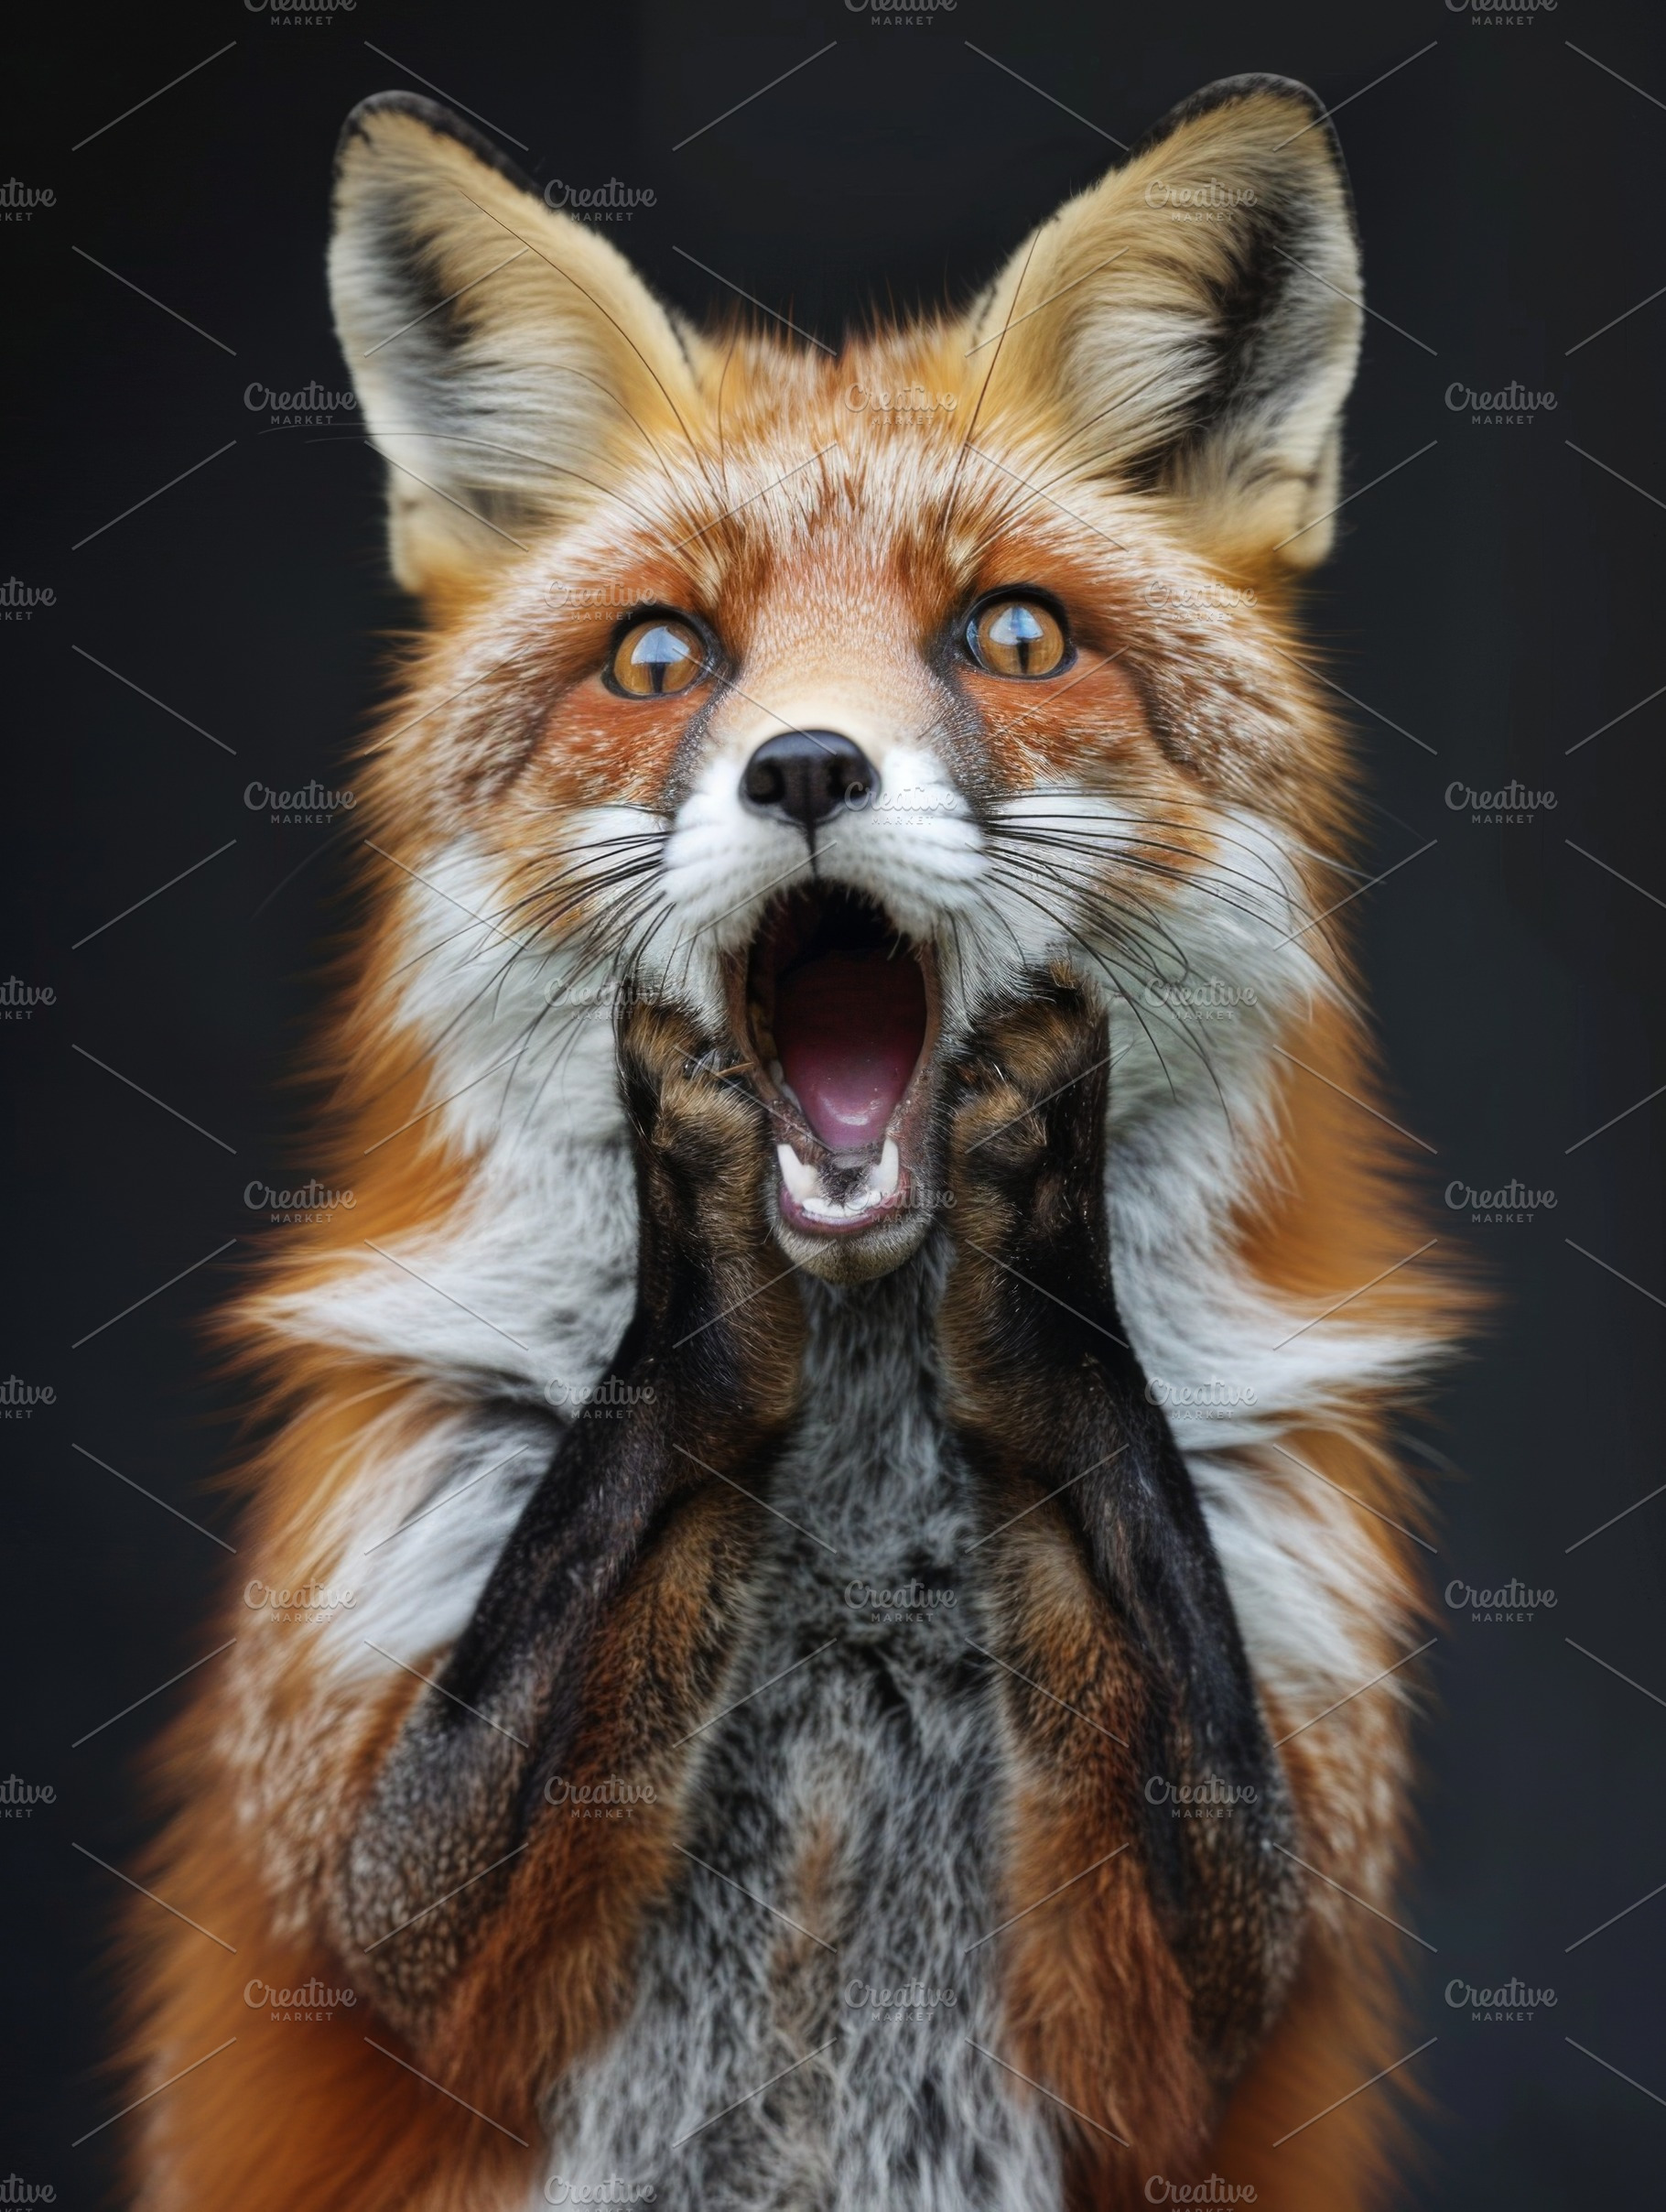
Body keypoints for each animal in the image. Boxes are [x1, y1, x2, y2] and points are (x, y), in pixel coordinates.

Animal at [123, 74, 1457, 2212]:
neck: (853, 1519)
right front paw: (693, 1274)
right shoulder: (354, 1884)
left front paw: (1045, 1283)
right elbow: (462, 1808)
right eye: (662, 659)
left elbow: (1196, 1929)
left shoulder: (1239, 1969)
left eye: (1014, 633)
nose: (810, 767)